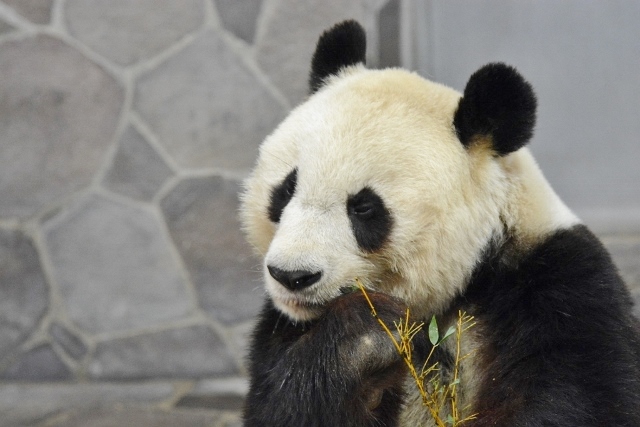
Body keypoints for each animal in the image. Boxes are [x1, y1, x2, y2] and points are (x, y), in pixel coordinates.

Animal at [239, 20, 640, 427]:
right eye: (286, 189)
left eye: (364, 208)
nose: (292, 276)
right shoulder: (281, 329)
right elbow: (286, 404)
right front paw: (365, 337)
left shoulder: (559, 287)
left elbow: (575, 398)